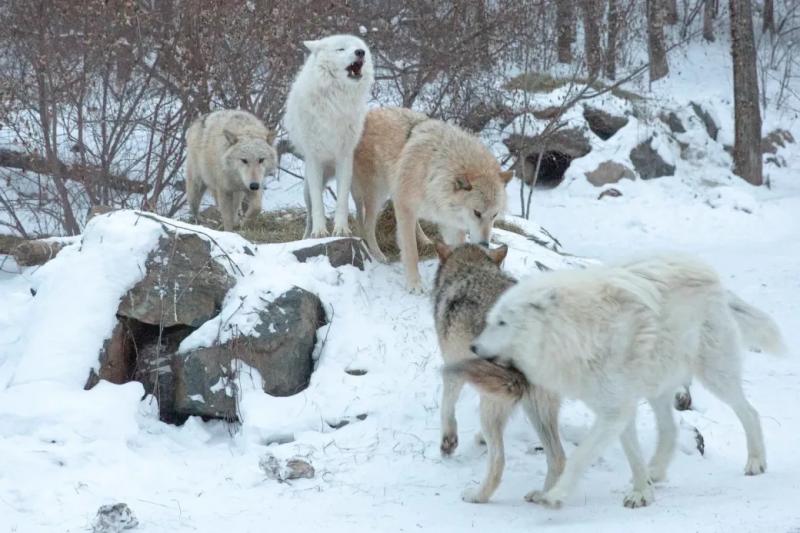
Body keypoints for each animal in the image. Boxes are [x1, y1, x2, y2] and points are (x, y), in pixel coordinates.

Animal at [283, 34, 374, 238]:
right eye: (341, 49)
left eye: (359, 47)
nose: (360, 52)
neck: (335, 101)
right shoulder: (314, 159)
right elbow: (318, 205)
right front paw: (319, 232)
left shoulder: (344, 158)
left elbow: (341, 202)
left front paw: (341, 230)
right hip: (306, 188)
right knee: (309, 215)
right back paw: (307, 236)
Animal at [352, 107, 512, 291]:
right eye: (477, 213)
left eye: (494, 215)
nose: (485, 244)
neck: (434, 172)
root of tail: (369, 111)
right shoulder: (405, 206)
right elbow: (411, 251)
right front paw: (414, 284)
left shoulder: (450, 223)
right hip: (377, 195)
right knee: (368, 225)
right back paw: (378, 255)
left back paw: (425, 239)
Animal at [433, 243, 565, 504]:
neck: (470, 270)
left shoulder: (454, 368)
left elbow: (447, 408)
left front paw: (448, 443)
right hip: (536, 408)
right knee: (558, 458)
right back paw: (542, 497)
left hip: (493, 405)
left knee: (498, 462)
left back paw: (476, 496)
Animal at [465, 255, 786, 509]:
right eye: (491, 320)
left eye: (502, 323)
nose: (473, 347)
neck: (575, 332)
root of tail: (715, 281)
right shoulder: (617, 409)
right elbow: (632, 454)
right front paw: (642, 492)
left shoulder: (614, 411)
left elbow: (580, 456)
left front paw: (554, 496)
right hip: (658, 388)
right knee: (669, 429)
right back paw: (655, 472)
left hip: (716, 377)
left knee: (750, 412)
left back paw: (756, 462)